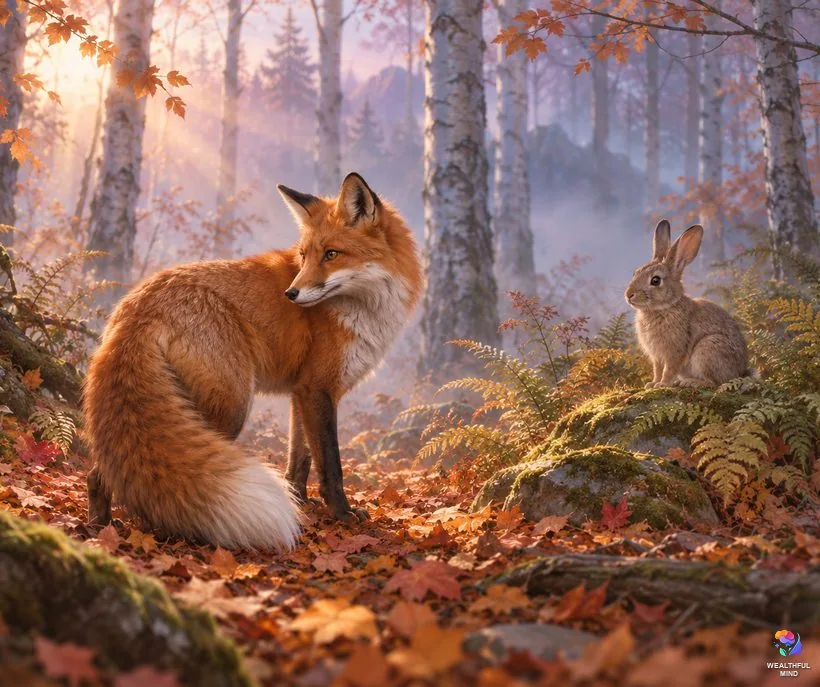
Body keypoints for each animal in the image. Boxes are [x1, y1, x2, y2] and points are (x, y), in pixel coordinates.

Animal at [83, 173, 423, 550]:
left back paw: (101, 524)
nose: (291, 294)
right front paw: (343, 514)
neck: (366, 308)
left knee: (99, 472)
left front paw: (299, 503)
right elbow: (330, 463)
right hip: (231, 404)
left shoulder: (301, 392)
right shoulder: (318, 388)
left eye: (331, 254)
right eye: (304, 255)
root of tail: (138, 304)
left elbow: (300, 461)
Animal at [624, 219, 750, 389]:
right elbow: (657, 369)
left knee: (714, 383)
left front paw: (662, 385)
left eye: (655, 280)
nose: (628, 295)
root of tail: (741, 373)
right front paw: (652, 384)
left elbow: (669, 369)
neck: (665, 307)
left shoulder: (674, 351)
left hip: (707, 350)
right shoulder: (657, 356)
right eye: (635, 273)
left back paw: (691, 382)